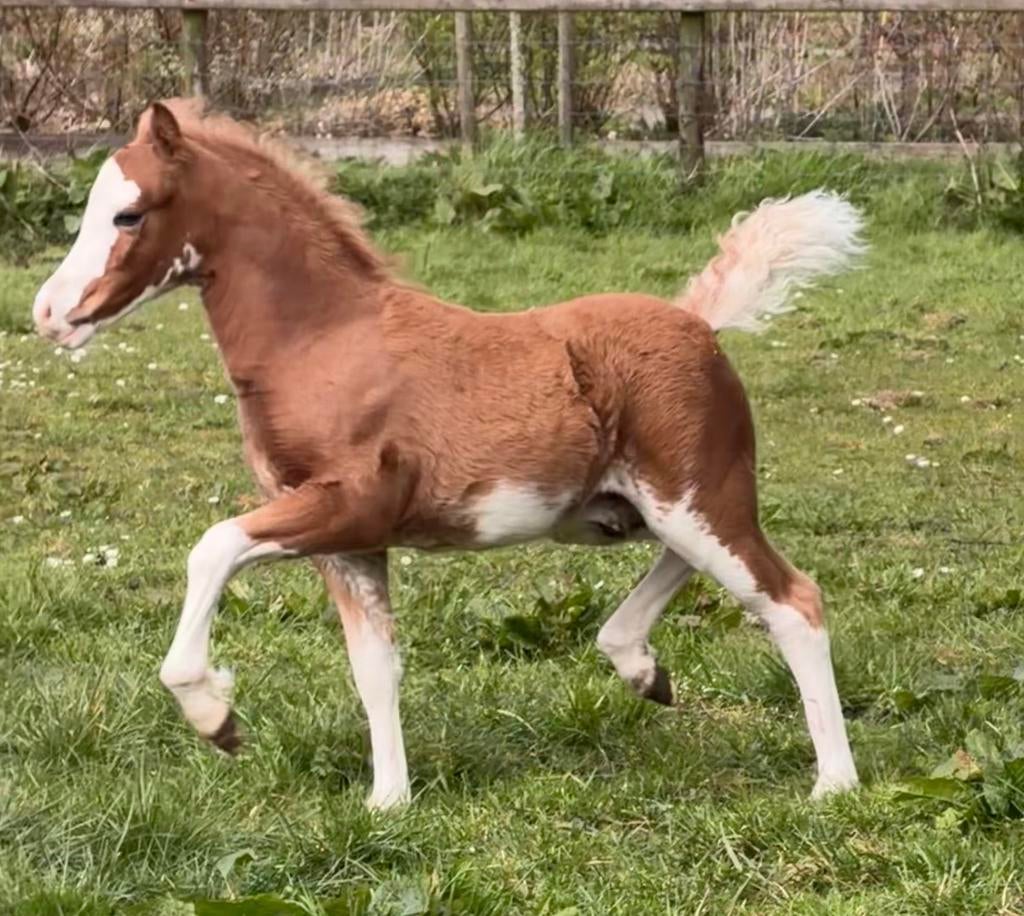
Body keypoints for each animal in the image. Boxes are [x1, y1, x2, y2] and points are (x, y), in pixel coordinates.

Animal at [33, 100, 863, 809]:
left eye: (129, 213)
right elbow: (374, 668)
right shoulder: (352, 542)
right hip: (633, 509)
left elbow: (212, 548)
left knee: (792, 601)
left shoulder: (347, 503)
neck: (323, 340)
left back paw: (835, 783)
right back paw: (642, 669)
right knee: (696, 571)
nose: (48, 314)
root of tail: (700, 324)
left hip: (695, 498)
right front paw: (389, 802)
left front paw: (217, 718)